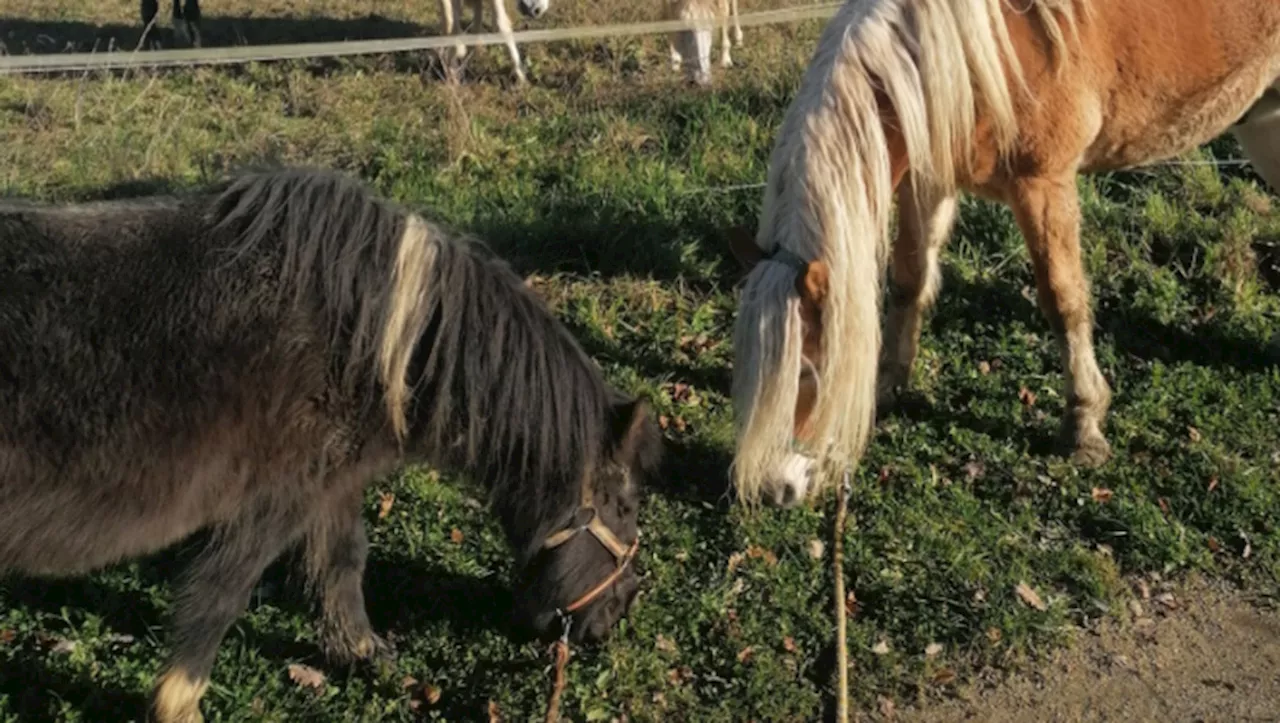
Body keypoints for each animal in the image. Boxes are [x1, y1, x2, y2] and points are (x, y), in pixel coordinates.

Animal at [0, 167, 660, 716]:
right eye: (626, 507)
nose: (621, 610)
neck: (375, 343)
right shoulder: (272, 504)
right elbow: (219, 597)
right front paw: (178, 704)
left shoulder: (332, 484)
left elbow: (343, 562)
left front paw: (363, 653)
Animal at [732, 0, 1280, 506]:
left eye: (808, 372)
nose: (776, 489)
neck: (980, 54)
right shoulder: (929, 178)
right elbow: (909, 279)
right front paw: (889, 383)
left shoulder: (1043, 185)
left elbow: (1062, 301)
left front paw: (1083, 426)